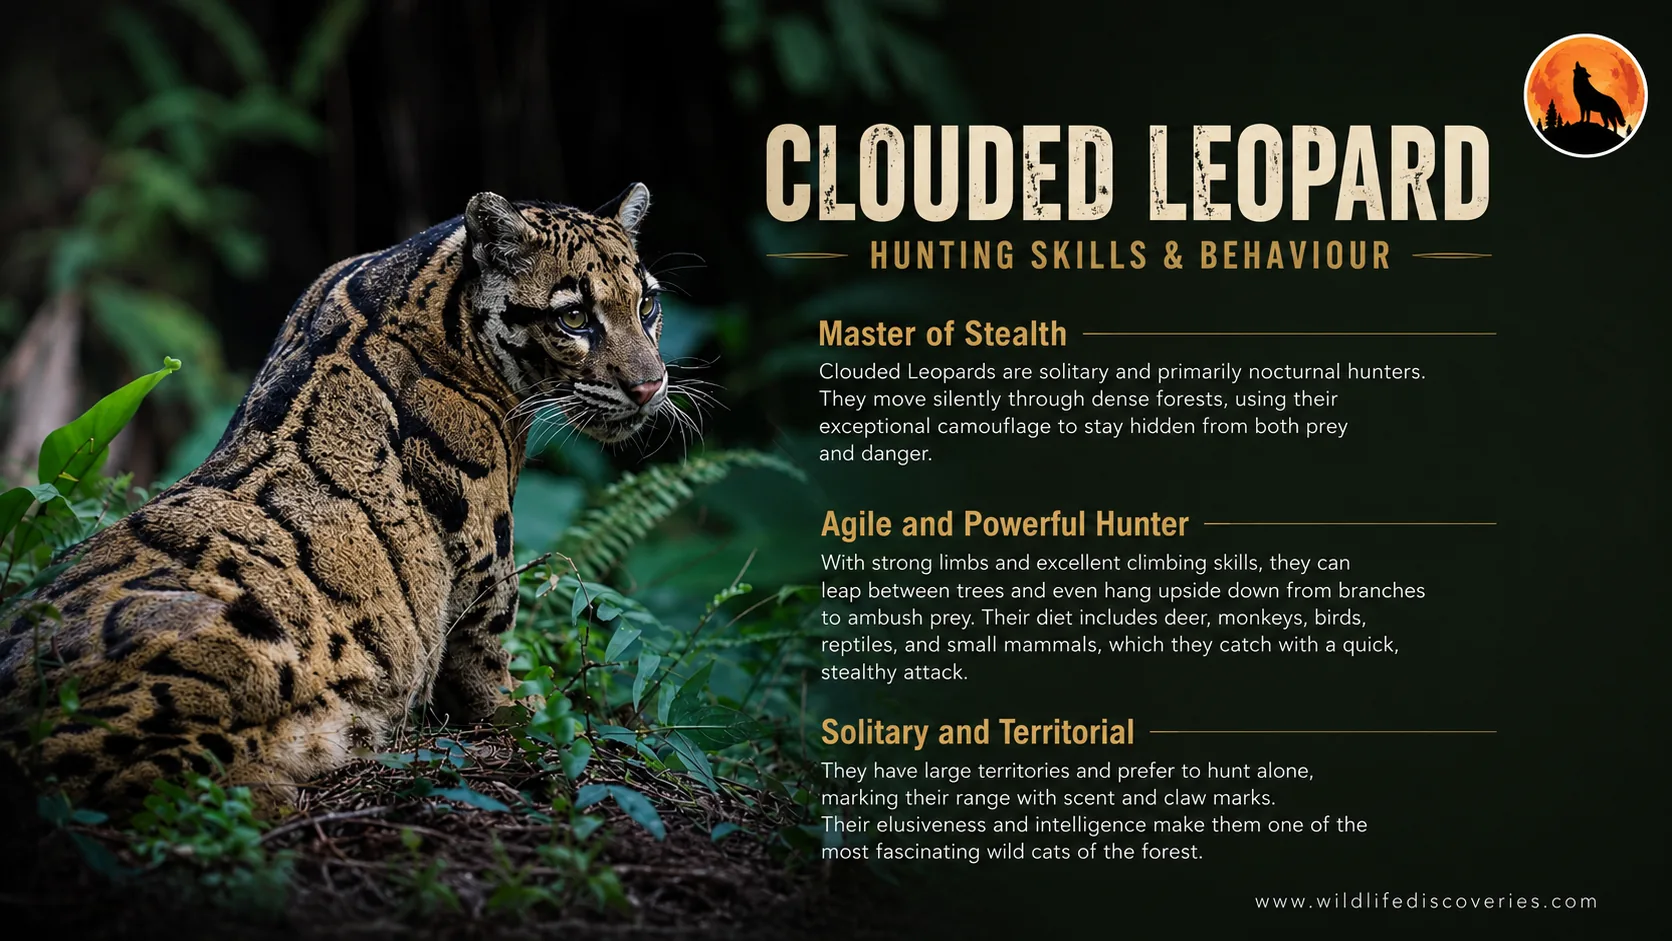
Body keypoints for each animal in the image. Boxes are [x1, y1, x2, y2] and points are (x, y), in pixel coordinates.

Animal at [0, 184, 674, 812]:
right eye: (574, 318)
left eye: (648, 305)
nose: (650, 385)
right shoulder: (487, 562)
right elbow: (493, 670)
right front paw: (540, 718)